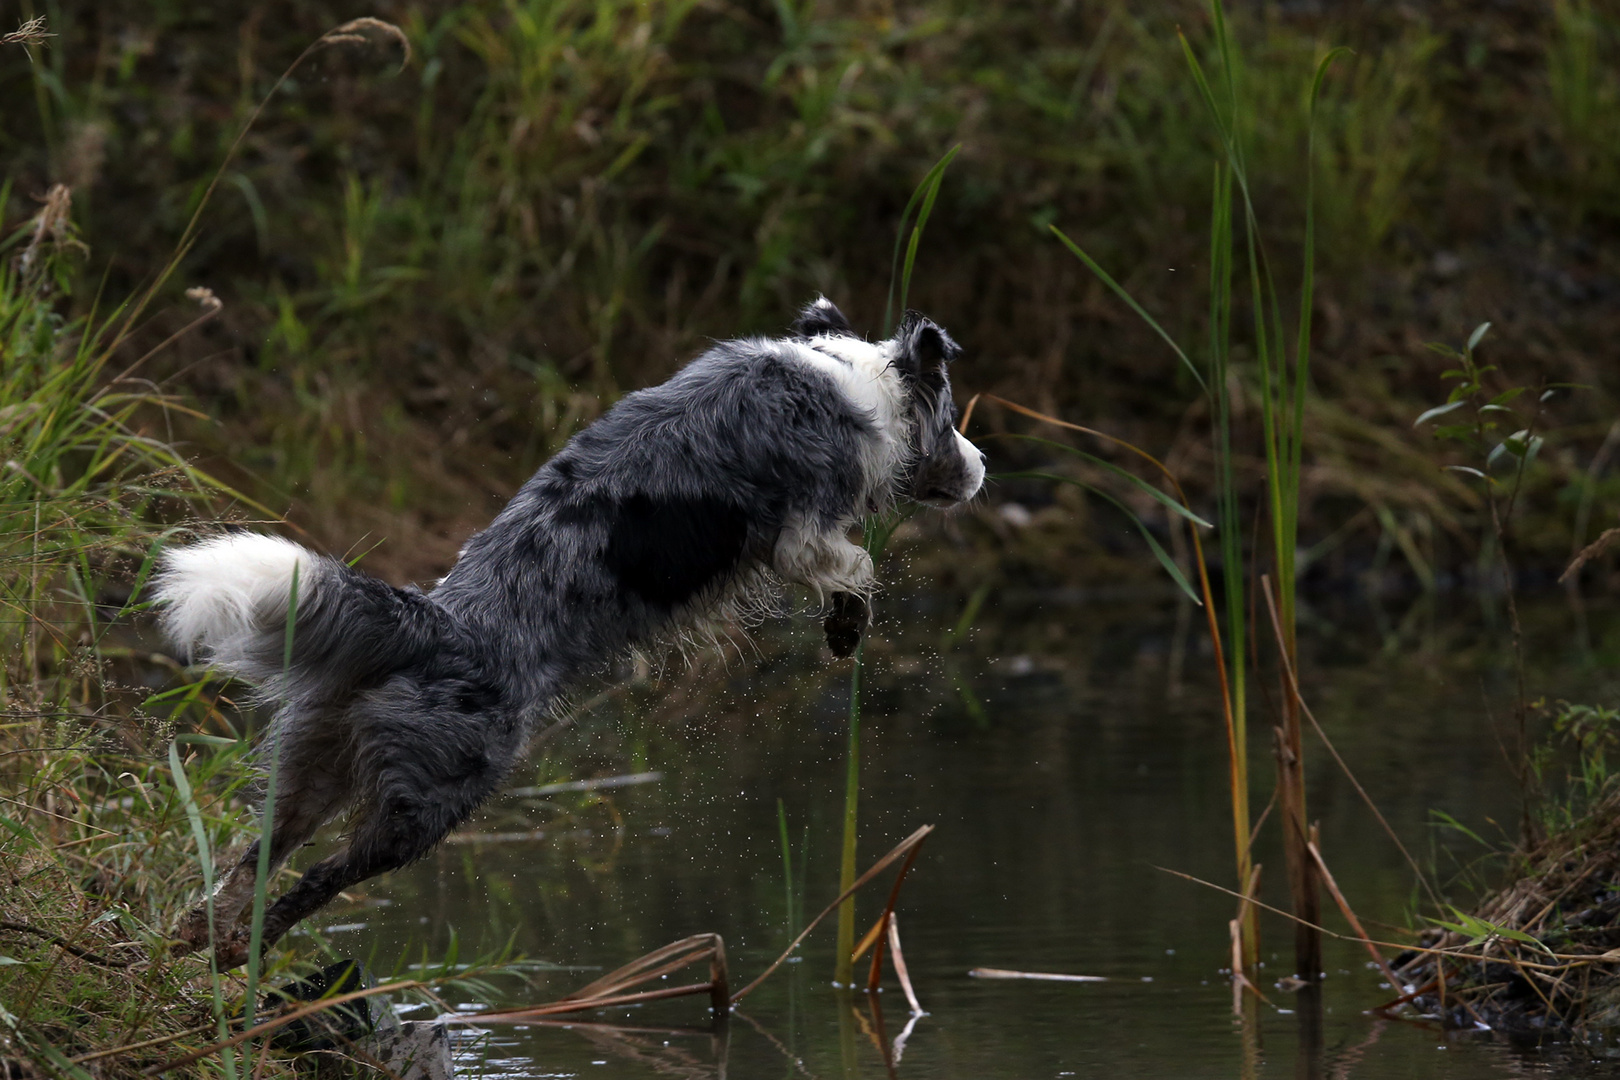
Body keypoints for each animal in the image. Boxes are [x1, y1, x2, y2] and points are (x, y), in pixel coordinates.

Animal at [154, 299, 984, 965]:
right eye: (952, 419)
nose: (983, 467)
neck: (845, 378)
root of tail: (437, 629)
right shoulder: (803, 530)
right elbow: (854, 565)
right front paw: (846, 628)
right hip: (436, 797)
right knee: (324, 876)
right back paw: (237, 950)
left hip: (315, 760)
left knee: (259, 852)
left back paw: (198, 932)